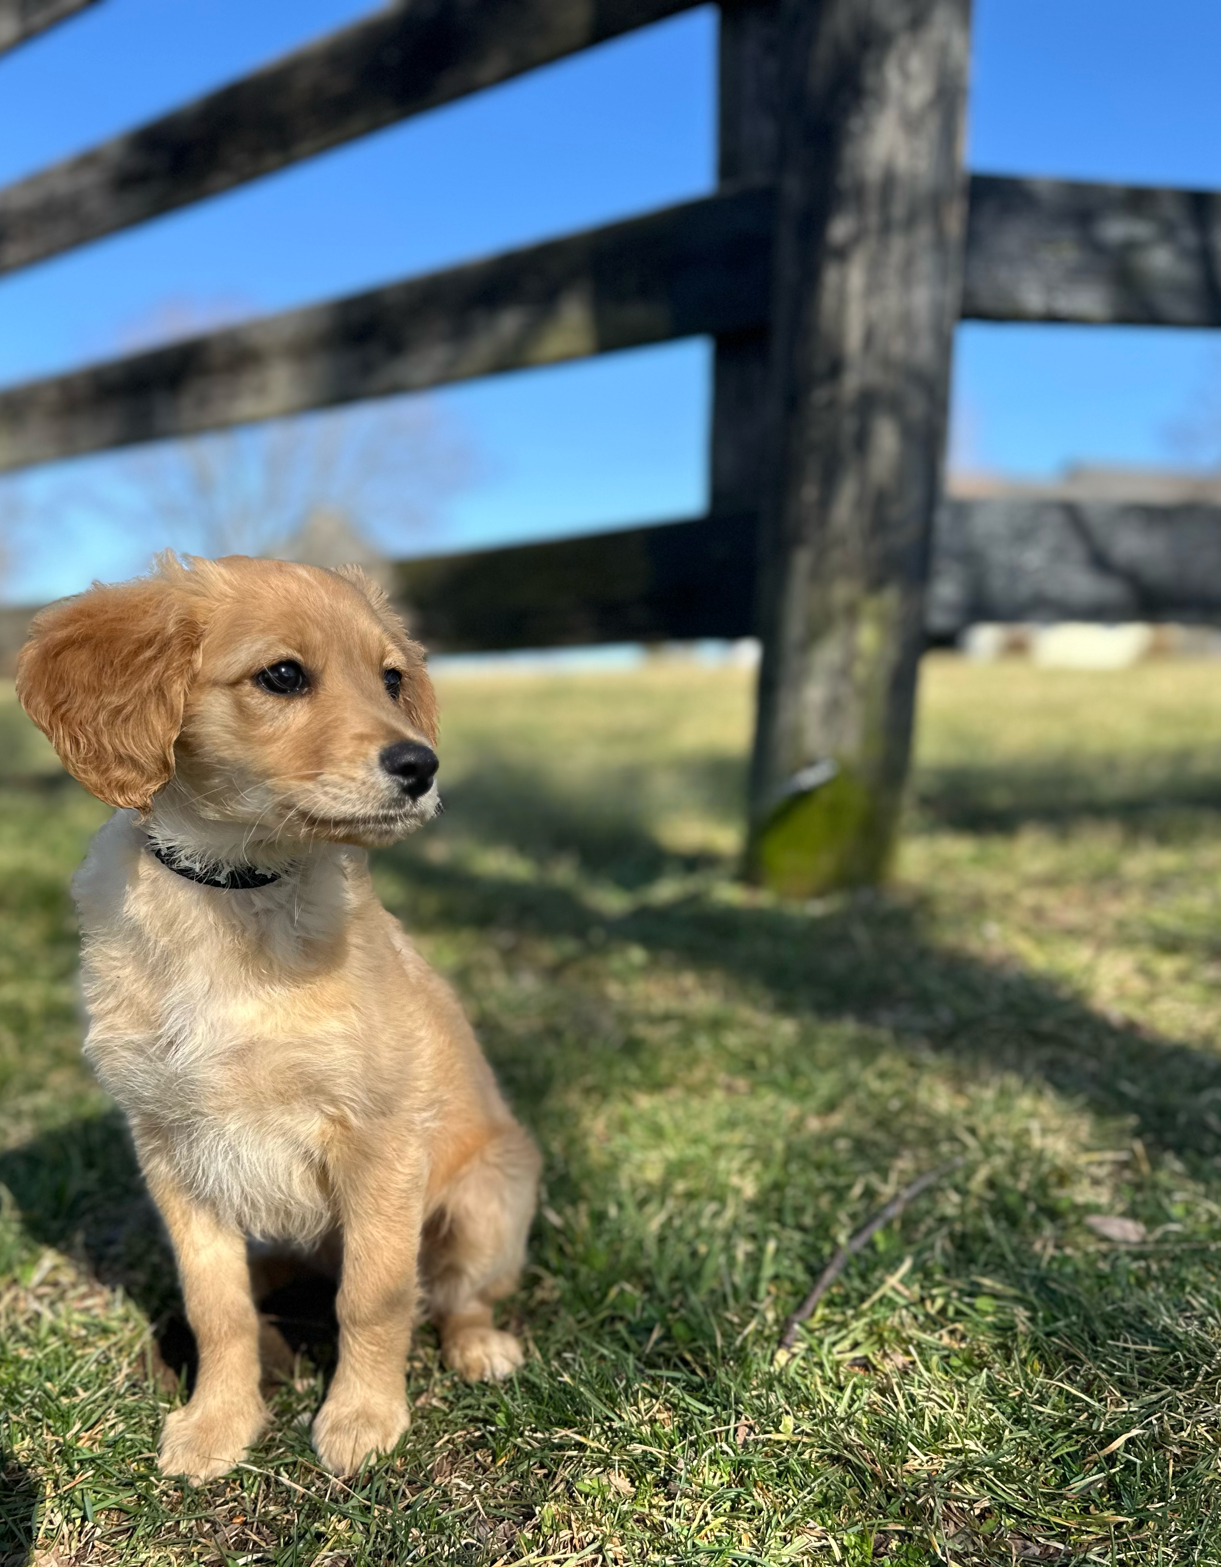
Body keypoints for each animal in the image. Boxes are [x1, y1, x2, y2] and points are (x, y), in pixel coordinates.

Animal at [14, 557, 539, 1485]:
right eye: (283, 675)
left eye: (391, 678)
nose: (421, 766)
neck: (236, 890)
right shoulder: (170, 1146)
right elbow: (213, 1301)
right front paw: (219, 1421)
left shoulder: (379, 1139)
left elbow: (374, 1294)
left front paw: (362, 1416)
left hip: (490, 1195)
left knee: (453, 1292)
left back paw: (478, 1346)